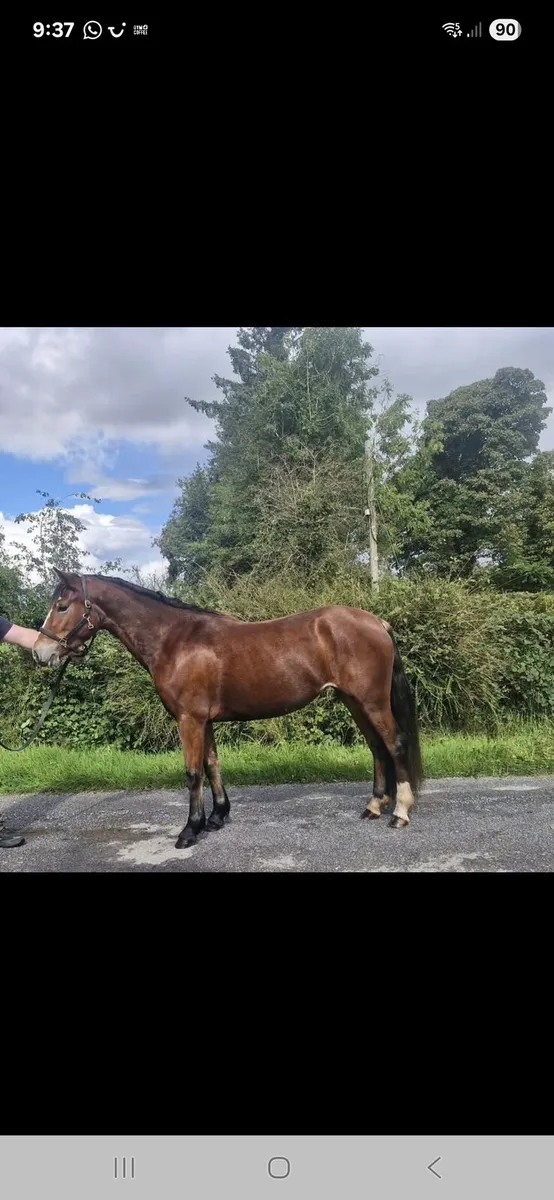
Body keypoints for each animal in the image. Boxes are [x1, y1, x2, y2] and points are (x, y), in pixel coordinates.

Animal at [32, 570, 423, 848]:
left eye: (62, 606)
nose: (40, 652)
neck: (175, 640)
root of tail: (376, 622)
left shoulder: (189, 720)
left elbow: (193, 772)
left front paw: (189, 831)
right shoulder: (203, 720)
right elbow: (212, 765)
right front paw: (217, 817)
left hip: (371, 701)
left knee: (395, 745)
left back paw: (400, 812)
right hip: (354, 701)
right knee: (377, 749)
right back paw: (373, 807)